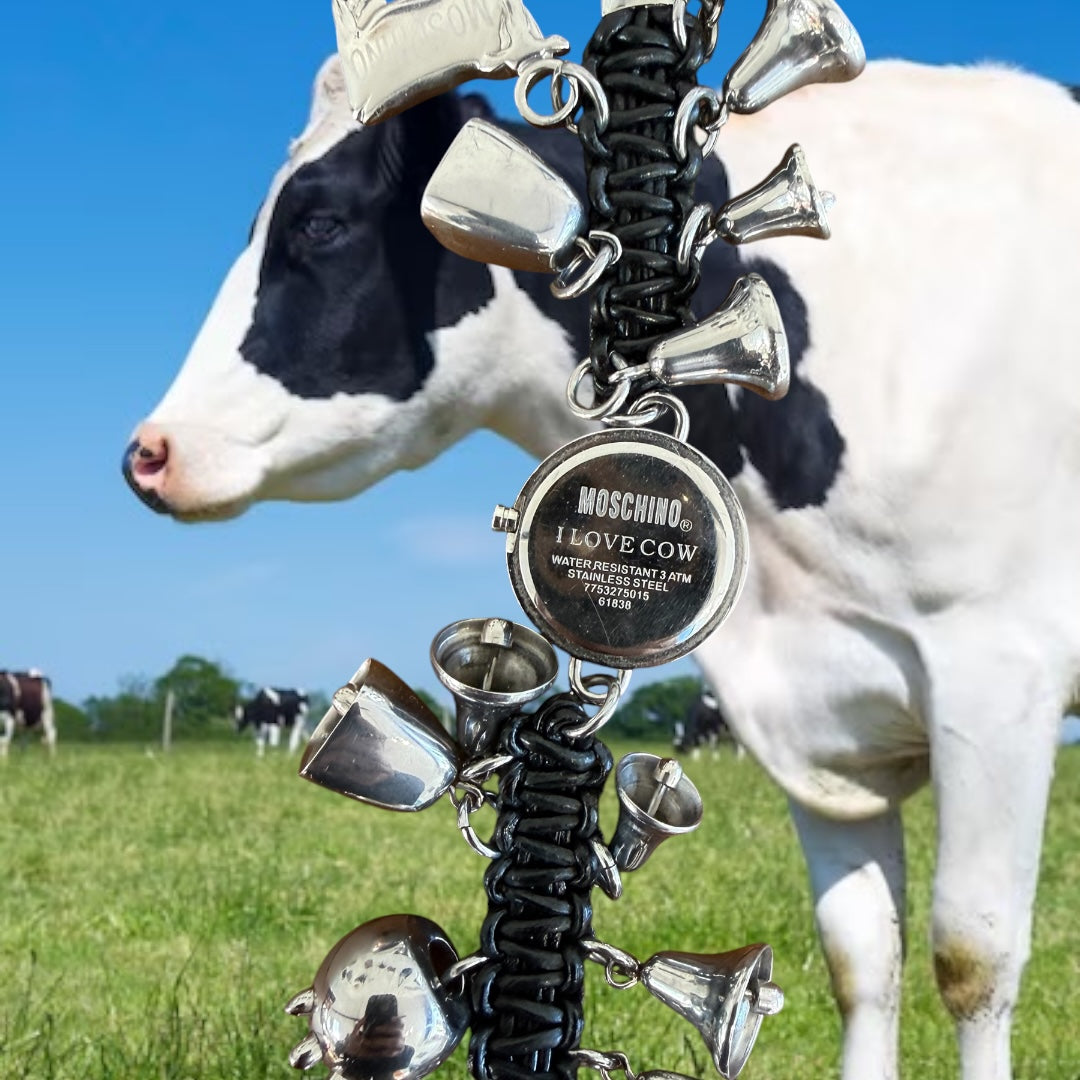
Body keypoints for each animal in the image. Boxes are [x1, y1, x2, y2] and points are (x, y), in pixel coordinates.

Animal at [122, 55, 1080, 1080]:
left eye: (320, 222)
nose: (149, 452)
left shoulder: (996, 672)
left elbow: (970, 959)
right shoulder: (817, 712)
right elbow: (862, 959)